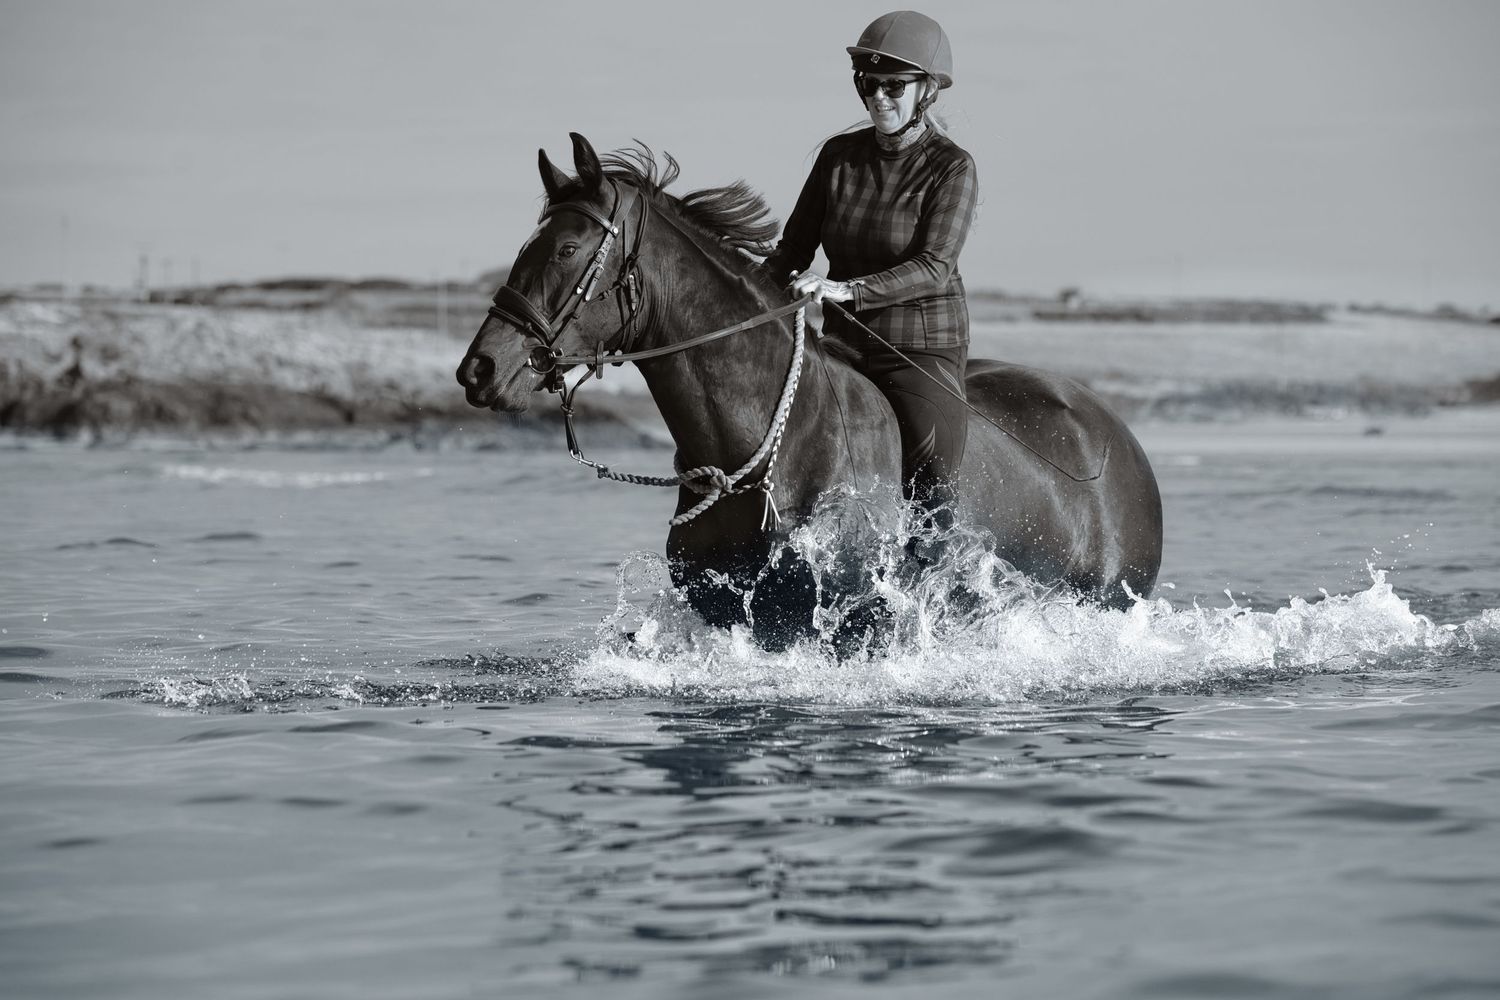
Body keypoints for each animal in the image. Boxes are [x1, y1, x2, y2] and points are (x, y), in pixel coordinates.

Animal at [457, 133, 1162, 650]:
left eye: (567, 249)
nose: (479, 371)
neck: (772, 443)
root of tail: (1117, 439)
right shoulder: (735, 612)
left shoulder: (849, 618)